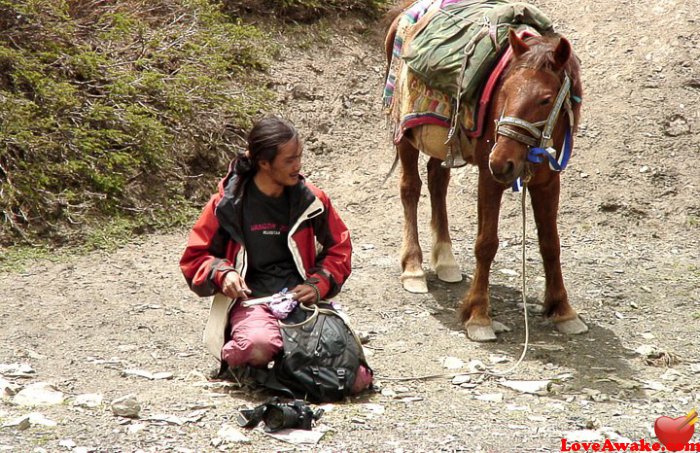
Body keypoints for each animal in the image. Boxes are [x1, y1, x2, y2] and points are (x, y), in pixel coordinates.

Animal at [386, 3, 588, 340]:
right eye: (504, 90)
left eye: (546, 99)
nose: (502, 162)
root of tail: (407, 11)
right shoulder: (489, 178)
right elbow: (486, 244)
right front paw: (479, 315)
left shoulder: (549, 181)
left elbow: (551, 243)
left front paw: (562, 309)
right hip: (407, 132)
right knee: (410, 188)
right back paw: (413, 268)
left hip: (445, 141)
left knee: (438, 180)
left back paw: (446, 260)